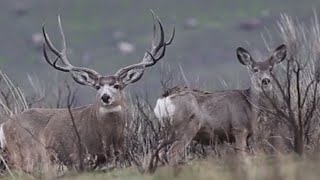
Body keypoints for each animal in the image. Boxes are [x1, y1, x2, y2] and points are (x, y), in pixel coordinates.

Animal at [0, 14, 174, 172]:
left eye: (117, 85)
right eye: (97, 86)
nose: (105, 97)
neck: (109, 137)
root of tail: (5, 125)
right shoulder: (81, 155)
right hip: (28, 151)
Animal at [154, 44, 286, 164]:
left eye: (271, 69)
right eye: (255, 69)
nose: (265, 80)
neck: (250, 105)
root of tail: (165, 97)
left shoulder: (222, 138)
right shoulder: (239, 128)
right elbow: (243, 156)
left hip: (164, 129)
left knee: (158, 152)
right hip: (185, 127)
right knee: (171, 154)